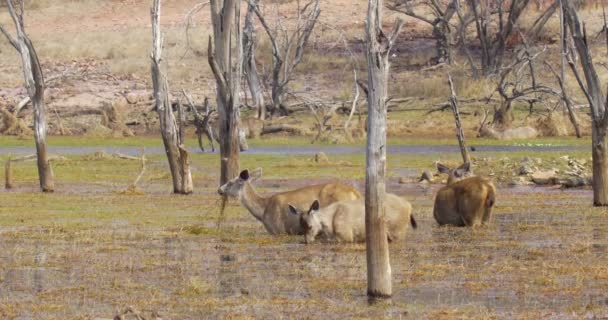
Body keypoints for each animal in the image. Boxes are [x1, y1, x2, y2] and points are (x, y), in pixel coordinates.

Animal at [290, 194, 418, 244]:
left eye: (310, 226)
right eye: (300, 226)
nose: (307, 241)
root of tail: (409, 206)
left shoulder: (346, 234)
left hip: (397, 230)